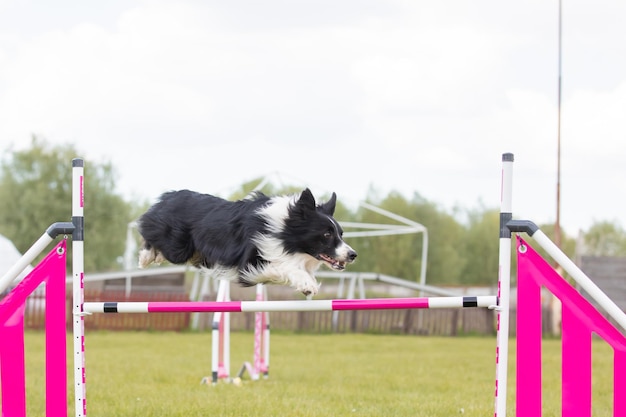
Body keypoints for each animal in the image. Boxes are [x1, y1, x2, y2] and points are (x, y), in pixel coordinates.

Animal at [136, 188, 356, 296]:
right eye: (326, 234)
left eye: (341, 233)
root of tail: (168, 196)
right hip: (177, 246)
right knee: (148, 231)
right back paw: (146, 257)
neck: (283, 231)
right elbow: (285, 266)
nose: (353, 254)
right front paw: (307, 283)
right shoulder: (250, 265)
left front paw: (307, 281)